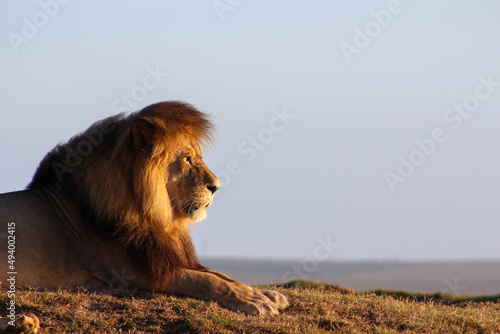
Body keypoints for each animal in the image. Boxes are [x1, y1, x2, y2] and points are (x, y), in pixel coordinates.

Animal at [0, 101, 288, 328]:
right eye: (187, 159)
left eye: (199, 157)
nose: (216, 186)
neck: (155, 216)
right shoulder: (140, 274)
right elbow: (208, 281)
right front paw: (254, 300)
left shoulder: (167, 258)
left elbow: (222, 275)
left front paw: (267, 294)